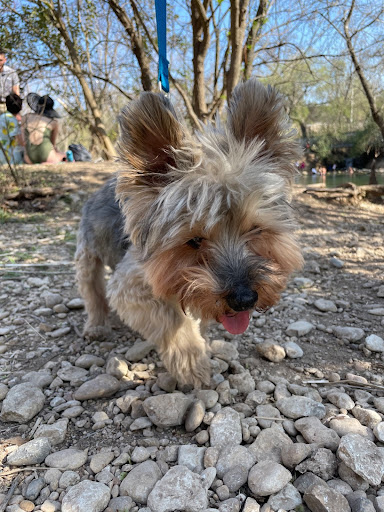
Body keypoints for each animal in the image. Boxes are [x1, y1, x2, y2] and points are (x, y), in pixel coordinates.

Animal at [75, 79, 304, 384]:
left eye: (255, 230)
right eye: (193, 240)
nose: (244, 300)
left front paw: (203, 338)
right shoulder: (131, 285)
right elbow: (172, 320)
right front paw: (194, 362)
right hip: (88, 252)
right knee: (92, 289)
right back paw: (96, 325)